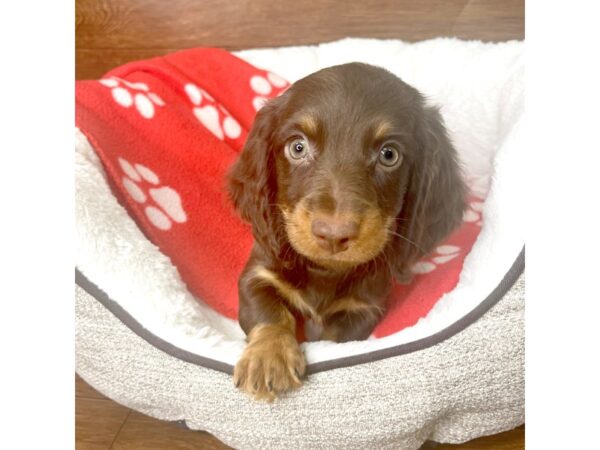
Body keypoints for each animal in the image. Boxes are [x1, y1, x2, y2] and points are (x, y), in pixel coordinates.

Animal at [227, 63, 466, 400]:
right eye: (297, 147)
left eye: (389, 154)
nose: (333, 235)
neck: (326, 271)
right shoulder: (258, 273)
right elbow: (268, 312)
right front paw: (268, 358)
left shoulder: (363, 309)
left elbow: (333, 338)